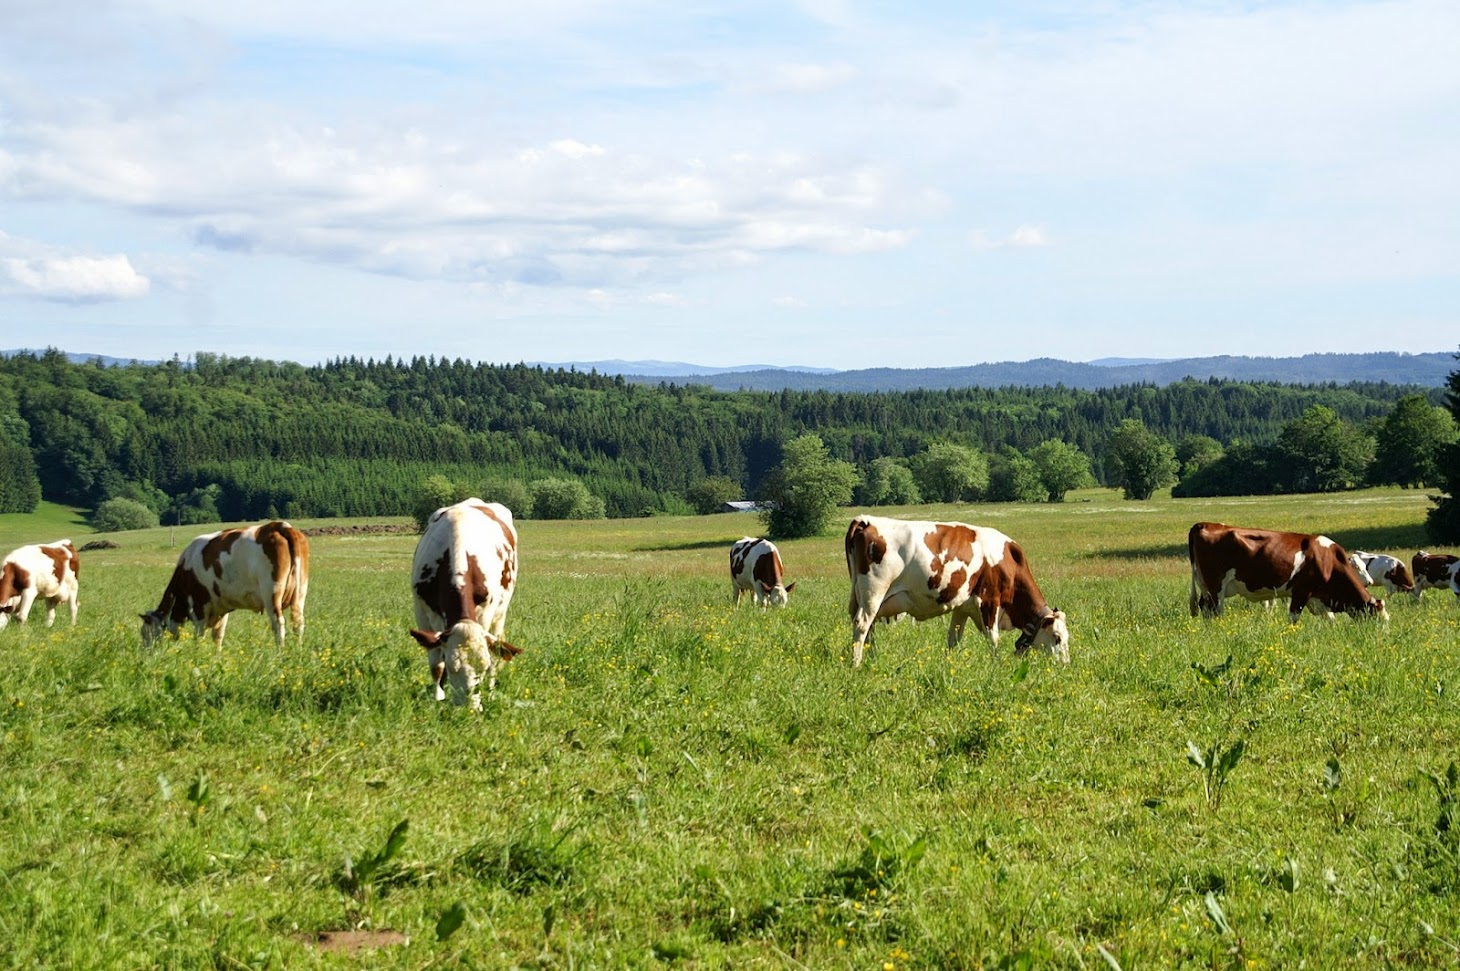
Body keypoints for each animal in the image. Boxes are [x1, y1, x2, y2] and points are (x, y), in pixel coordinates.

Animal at [140, 519, 309, 648]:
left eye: (146, 633)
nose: (146, 653)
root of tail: (279, 525)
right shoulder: (221, 608)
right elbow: (218, 636)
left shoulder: (199, 607)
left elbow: (199, 636)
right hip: (301, 591)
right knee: (298, 623)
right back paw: (298, 651)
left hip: (271, 592)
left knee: (278, 624)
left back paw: (280, 653)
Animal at [408, 496, 522, 709]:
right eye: (452, 667)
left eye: (482, 667)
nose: (470, 709)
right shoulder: (421, 611)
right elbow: (436, 664)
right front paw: (438, 698)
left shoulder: (486, 612)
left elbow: (491, 655)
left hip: (500, 613)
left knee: (497, 648)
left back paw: (491, 692)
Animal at [846, 513, 1074, 665]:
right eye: (1057, 637)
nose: (1065, 664)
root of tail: (866, 520)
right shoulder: (989, 601)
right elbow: (993, 638)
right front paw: (997, 666)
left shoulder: (963, 607)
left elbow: (953, 639)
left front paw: (950, 665)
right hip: (874, 592)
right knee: (862, 625)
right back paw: (856, 664)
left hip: (862, 596)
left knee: (868, 628)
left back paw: (872, 659)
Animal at [1179, 522, 1384, 622]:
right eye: (1380, 619)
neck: (1328, 561)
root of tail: (1204, 524)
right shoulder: (1301, 592)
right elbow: (1293, 618)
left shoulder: (1316, 598)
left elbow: (1330, 620)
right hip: (1216, 586)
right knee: (1214, 612)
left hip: (1205, 586)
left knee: (1205, 610)